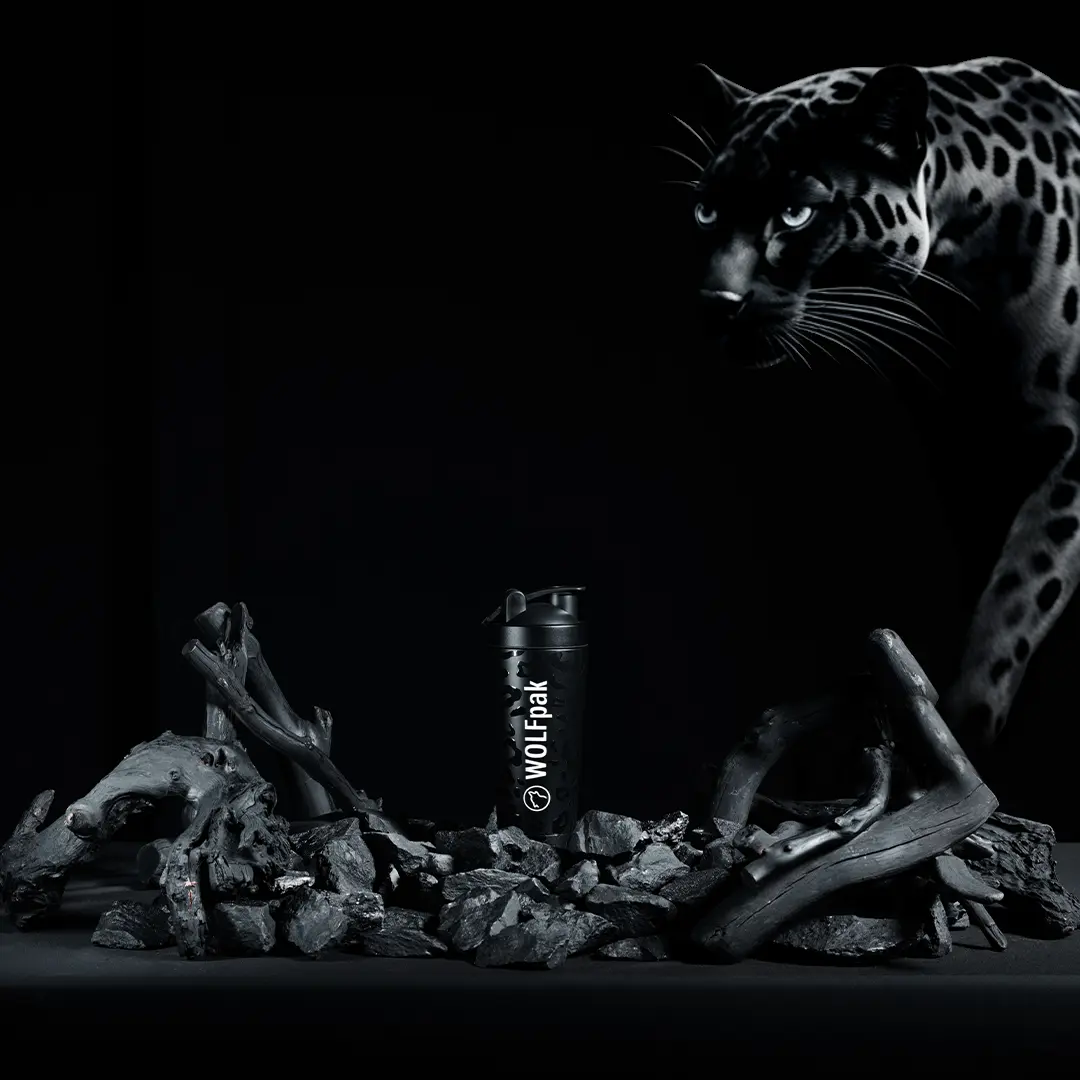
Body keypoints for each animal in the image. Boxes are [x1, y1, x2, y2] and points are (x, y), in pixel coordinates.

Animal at [669, 57, 1080, 753]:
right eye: (705, 210)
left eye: (796, 214)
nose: (716, 303)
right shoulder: (965, 457)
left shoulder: (1070, 450)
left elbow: (1021, 585)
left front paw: (964, 728)